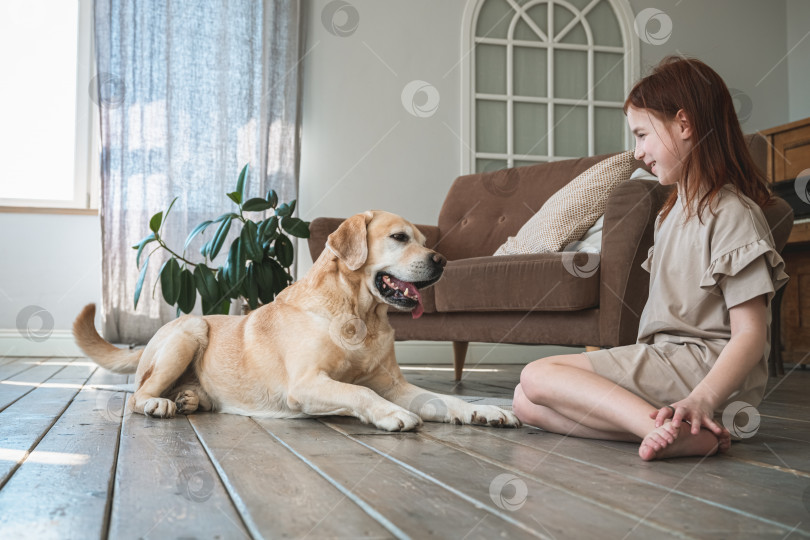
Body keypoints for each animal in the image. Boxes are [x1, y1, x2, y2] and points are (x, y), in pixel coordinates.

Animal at [74, 210, 516, 430]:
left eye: (425, 241)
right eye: (400, 238)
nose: (442, 261)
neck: (359, 315)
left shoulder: (397, 385)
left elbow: (444, 398)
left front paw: (483, 411)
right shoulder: (307, 383)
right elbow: (360, 392)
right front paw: (393, 414)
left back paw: (191, 398)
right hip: (191, 329)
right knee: (138, 395)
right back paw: (161, 403)